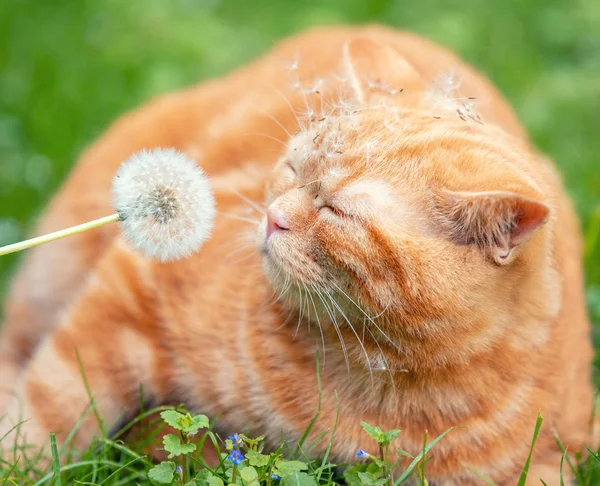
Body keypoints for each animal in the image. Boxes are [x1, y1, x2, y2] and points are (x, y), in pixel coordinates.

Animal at [0, 25, 592, 482]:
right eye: (293, 166)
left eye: (339, 214)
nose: (271, 216)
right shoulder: (129, 287)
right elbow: (50, 407)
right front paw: (19, 463)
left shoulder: (553, 461)